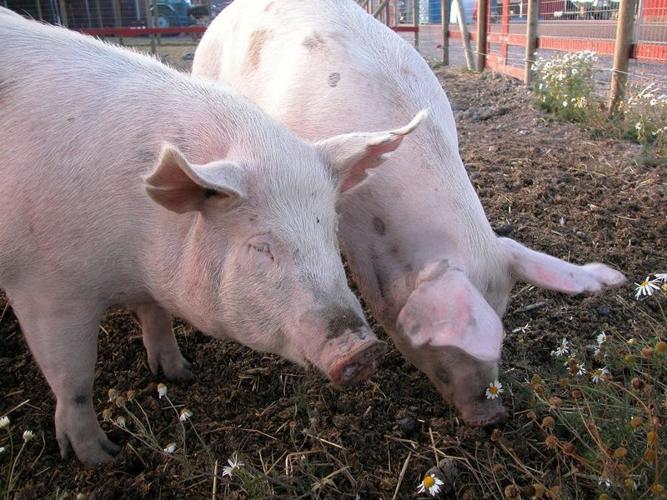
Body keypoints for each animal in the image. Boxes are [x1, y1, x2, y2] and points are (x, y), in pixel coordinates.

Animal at [0, 11, 425, 464]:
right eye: (261, 246)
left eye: (329, 228)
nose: (364, 350)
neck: (133, 263)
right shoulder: (46, 289)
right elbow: (73, 377)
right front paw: (105, 457)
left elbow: (156, 318)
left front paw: (181, 373)